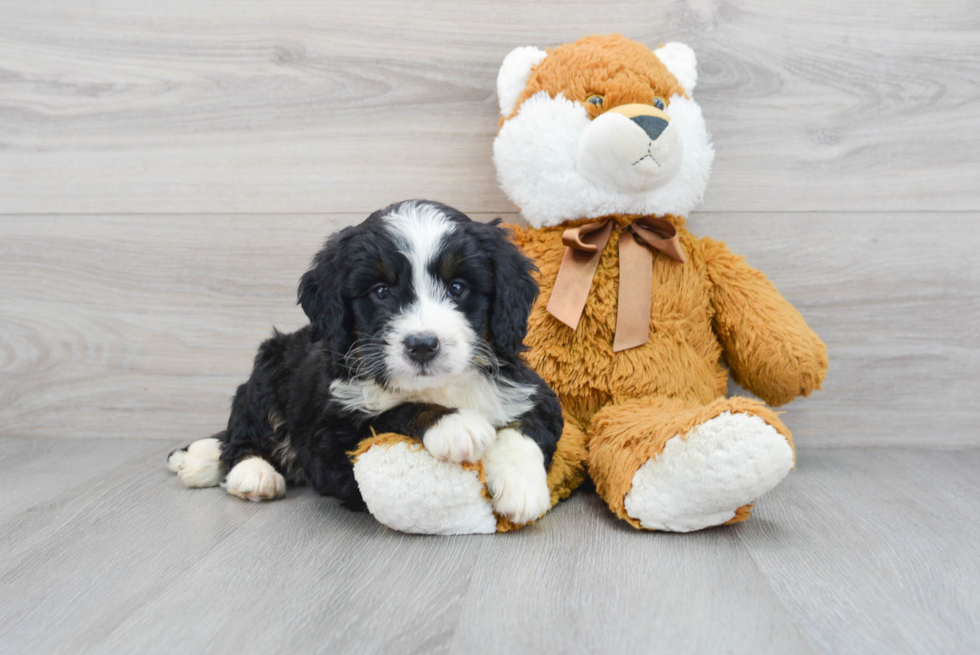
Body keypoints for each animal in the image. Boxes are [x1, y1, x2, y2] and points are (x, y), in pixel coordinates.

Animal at [167, 200, 564, 524]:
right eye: (381, 292)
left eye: (457, 287)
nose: (423, 345)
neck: (440, 387)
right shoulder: (331, 438)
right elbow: (391, 414)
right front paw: (454, 425)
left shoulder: (536, 392)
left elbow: (524, 427)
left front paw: (522, 487)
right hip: (266, 370)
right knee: (243, 434)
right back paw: (248, 472)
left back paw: (199, 458)